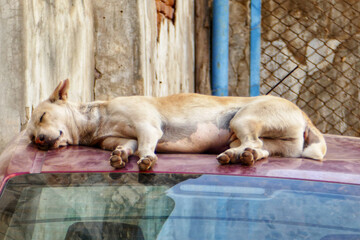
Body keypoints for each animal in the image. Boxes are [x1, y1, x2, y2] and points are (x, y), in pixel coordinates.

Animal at [26, 79, 328, 170]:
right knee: (259, 149)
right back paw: (239, 155)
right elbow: (126, 147)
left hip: (243, 119)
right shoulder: (124, 138)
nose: (38, 140)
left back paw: (238, 155)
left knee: (252, 142)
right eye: (30, 137)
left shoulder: (148, 127)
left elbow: (145, 147)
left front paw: (147, 159)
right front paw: (121, 156)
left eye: (42, 117)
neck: (96, 121)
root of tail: (305, 116)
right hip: (259, 139)